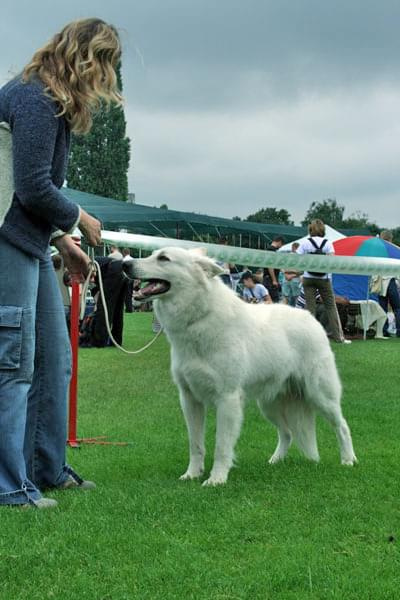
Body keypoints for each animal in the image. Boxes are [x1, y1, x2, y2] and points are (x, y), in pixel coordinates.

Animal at [131, 246, 356, 486]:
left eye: (164, 258)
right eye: (152, 254)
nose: (125, 265)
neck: (198, 316)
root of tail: (311, 318)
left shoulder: (227, 399)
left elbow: (221, 446)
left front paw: (216, 479)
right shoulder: (189, 399)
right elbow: (196, 444)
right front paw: (192, 474)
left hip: (321, 396)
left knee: (342, 426)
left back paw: (348, 460)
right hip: (269, 405)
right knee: (287, 433)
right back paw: (275, 461)